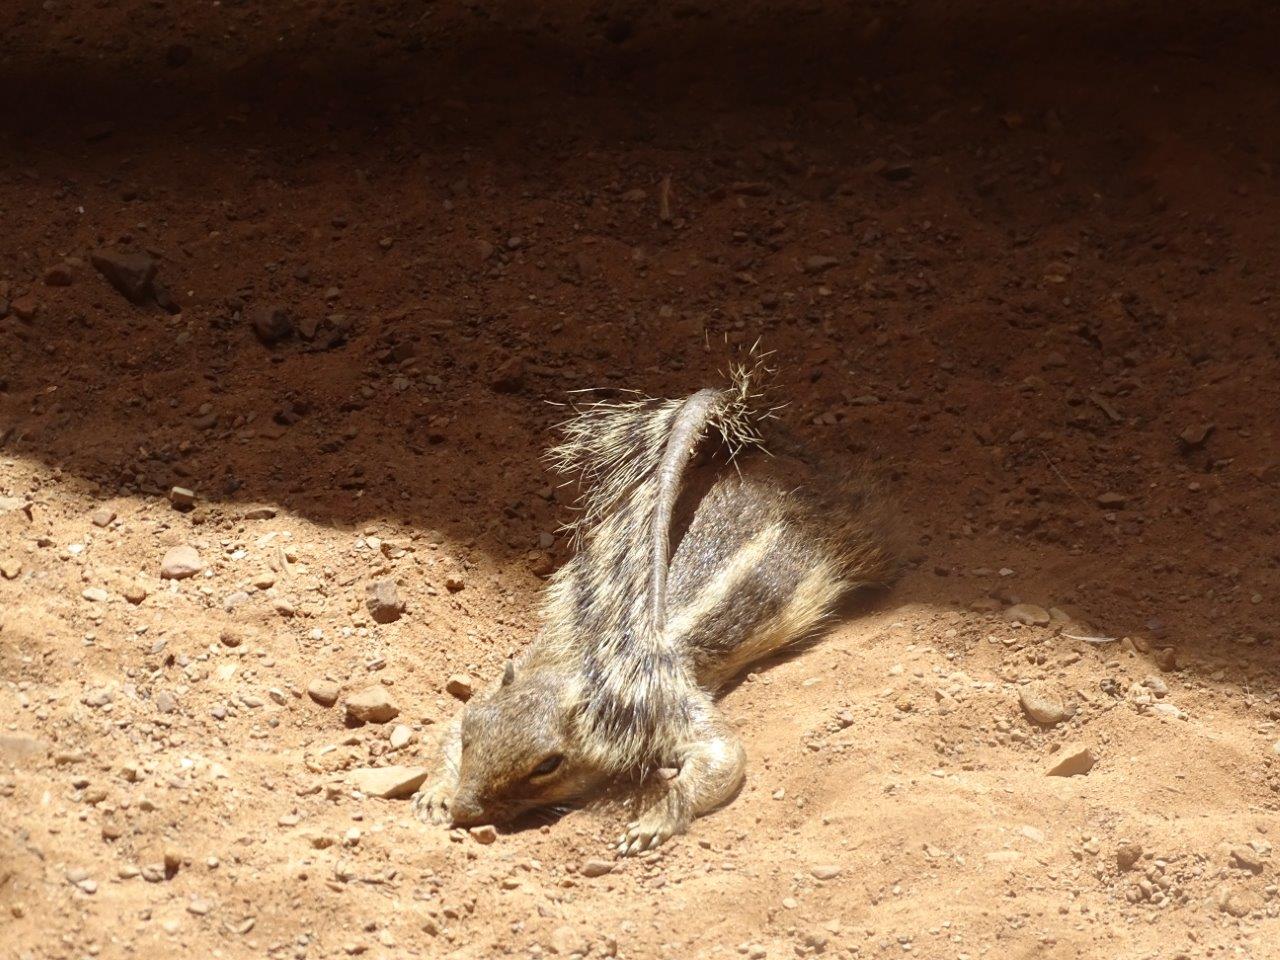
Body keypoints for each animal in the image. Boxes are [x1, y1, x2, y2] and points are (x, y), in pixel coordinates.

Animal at [412, 360, 897, 855]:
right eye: (473, 734)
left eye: (548, 765)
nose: (465, 811)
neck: (587, 664)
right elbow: (449, 724)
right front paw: (434, 793)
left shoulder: (670, 704)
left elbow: (724, 755)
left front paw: (654, 819)